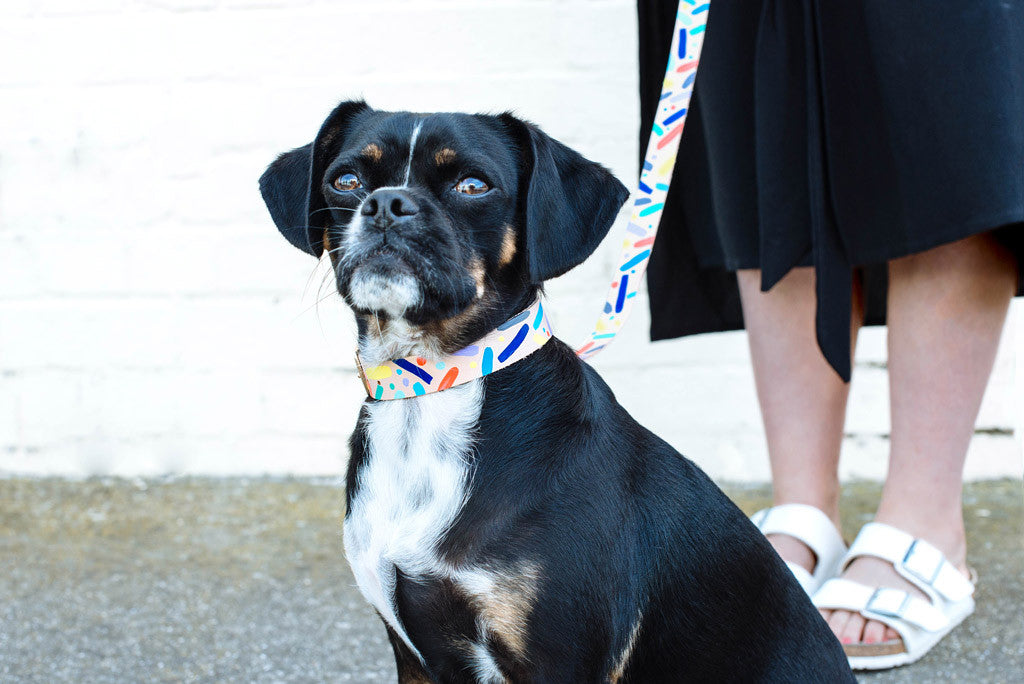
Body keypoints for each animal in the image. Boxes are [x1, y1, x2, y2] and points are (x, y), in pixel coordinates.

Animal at [260, 101, 851, 684]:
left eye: (473, 185)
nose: (386, 203)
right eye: (347, 180)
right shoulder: (414, 655)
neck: (432, 388)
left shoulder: (556, 658)